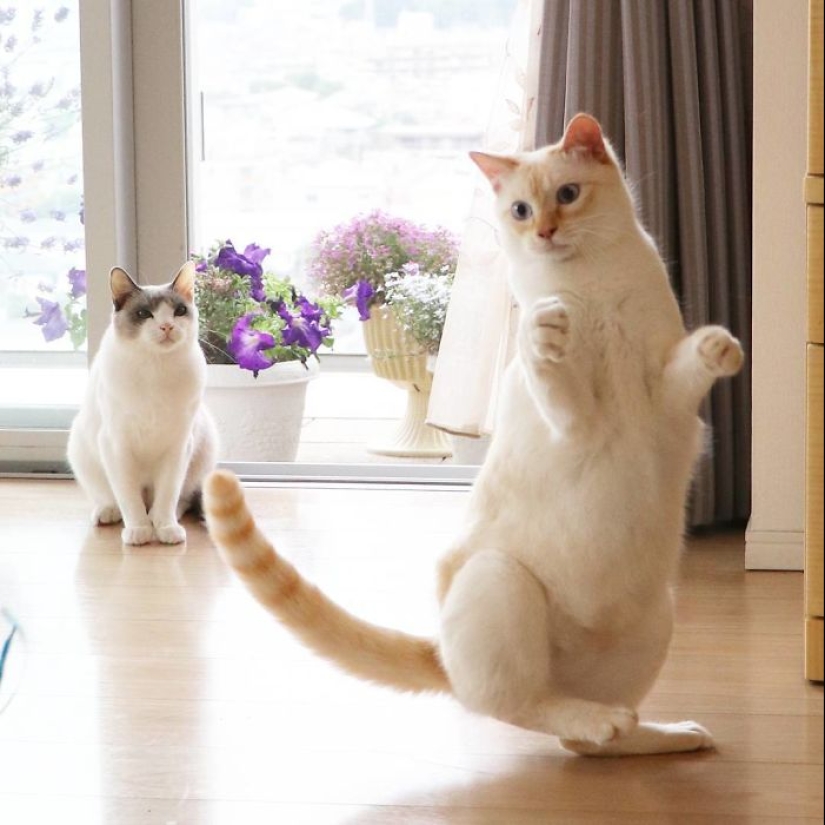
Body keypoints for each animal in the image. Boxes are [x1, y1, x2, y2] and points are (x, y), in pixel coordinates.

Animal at [69, 264, 216, 544]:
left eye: (179, 311)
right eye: (144, 314)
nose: (167, 326)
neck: (155, 368)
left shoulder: (178, 446)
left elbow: (167, 494)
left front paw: (165, 528)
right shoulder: (117, 445)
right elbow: (129, 498)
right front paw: (139, 531)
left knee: (179, 499)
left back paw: (168, 519)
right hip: (81, 450)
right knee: (109, 497)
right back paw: (107, 513)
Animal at [203, 114, 744, 752]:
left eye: (567, 195)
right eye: (520, 210)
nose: (545, 232)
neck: (592, 288)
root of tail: (442, 651)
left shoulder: (669, 401)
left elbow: (691, 364)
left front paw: (721, 346)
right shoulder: (573, 423)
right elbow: (551, 372)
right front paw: (546, 331)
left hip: (659, 615)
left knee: (583, 736)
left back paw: (664, 731)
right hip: (499, 577)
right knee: (514, 703)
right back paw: (597, 718)